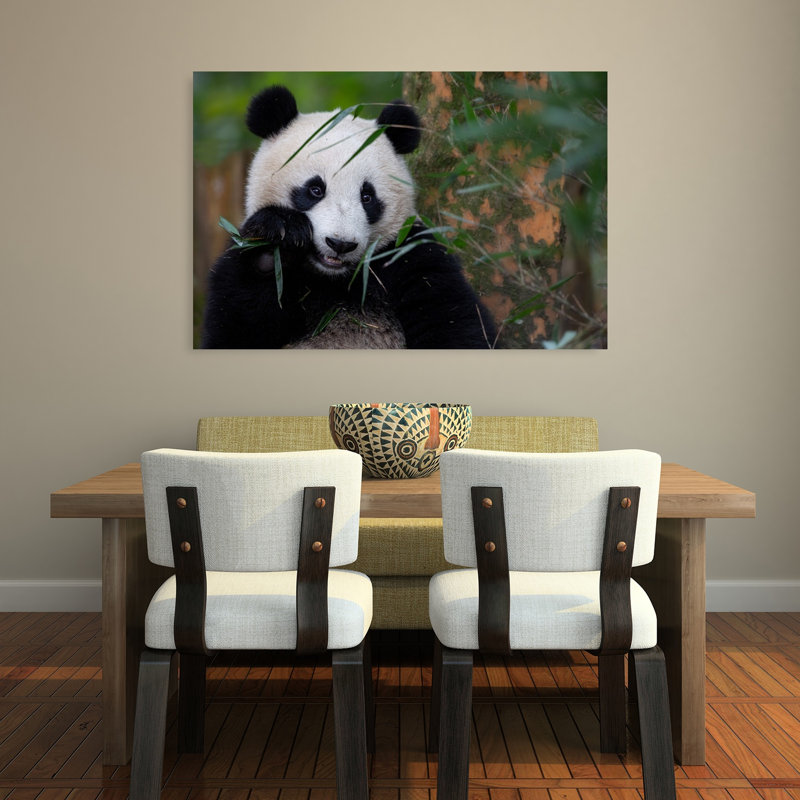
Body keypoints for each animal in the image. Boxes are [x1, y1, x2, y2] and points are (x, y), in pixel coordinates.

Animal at [200, 86, 497, 349]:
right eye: (315, 189)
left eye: (367, 196)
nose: (340, 244)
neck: (334, 277)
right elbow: (235, 328)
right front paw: (277, 238)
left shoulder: (410, 256)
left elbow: (456, 324)